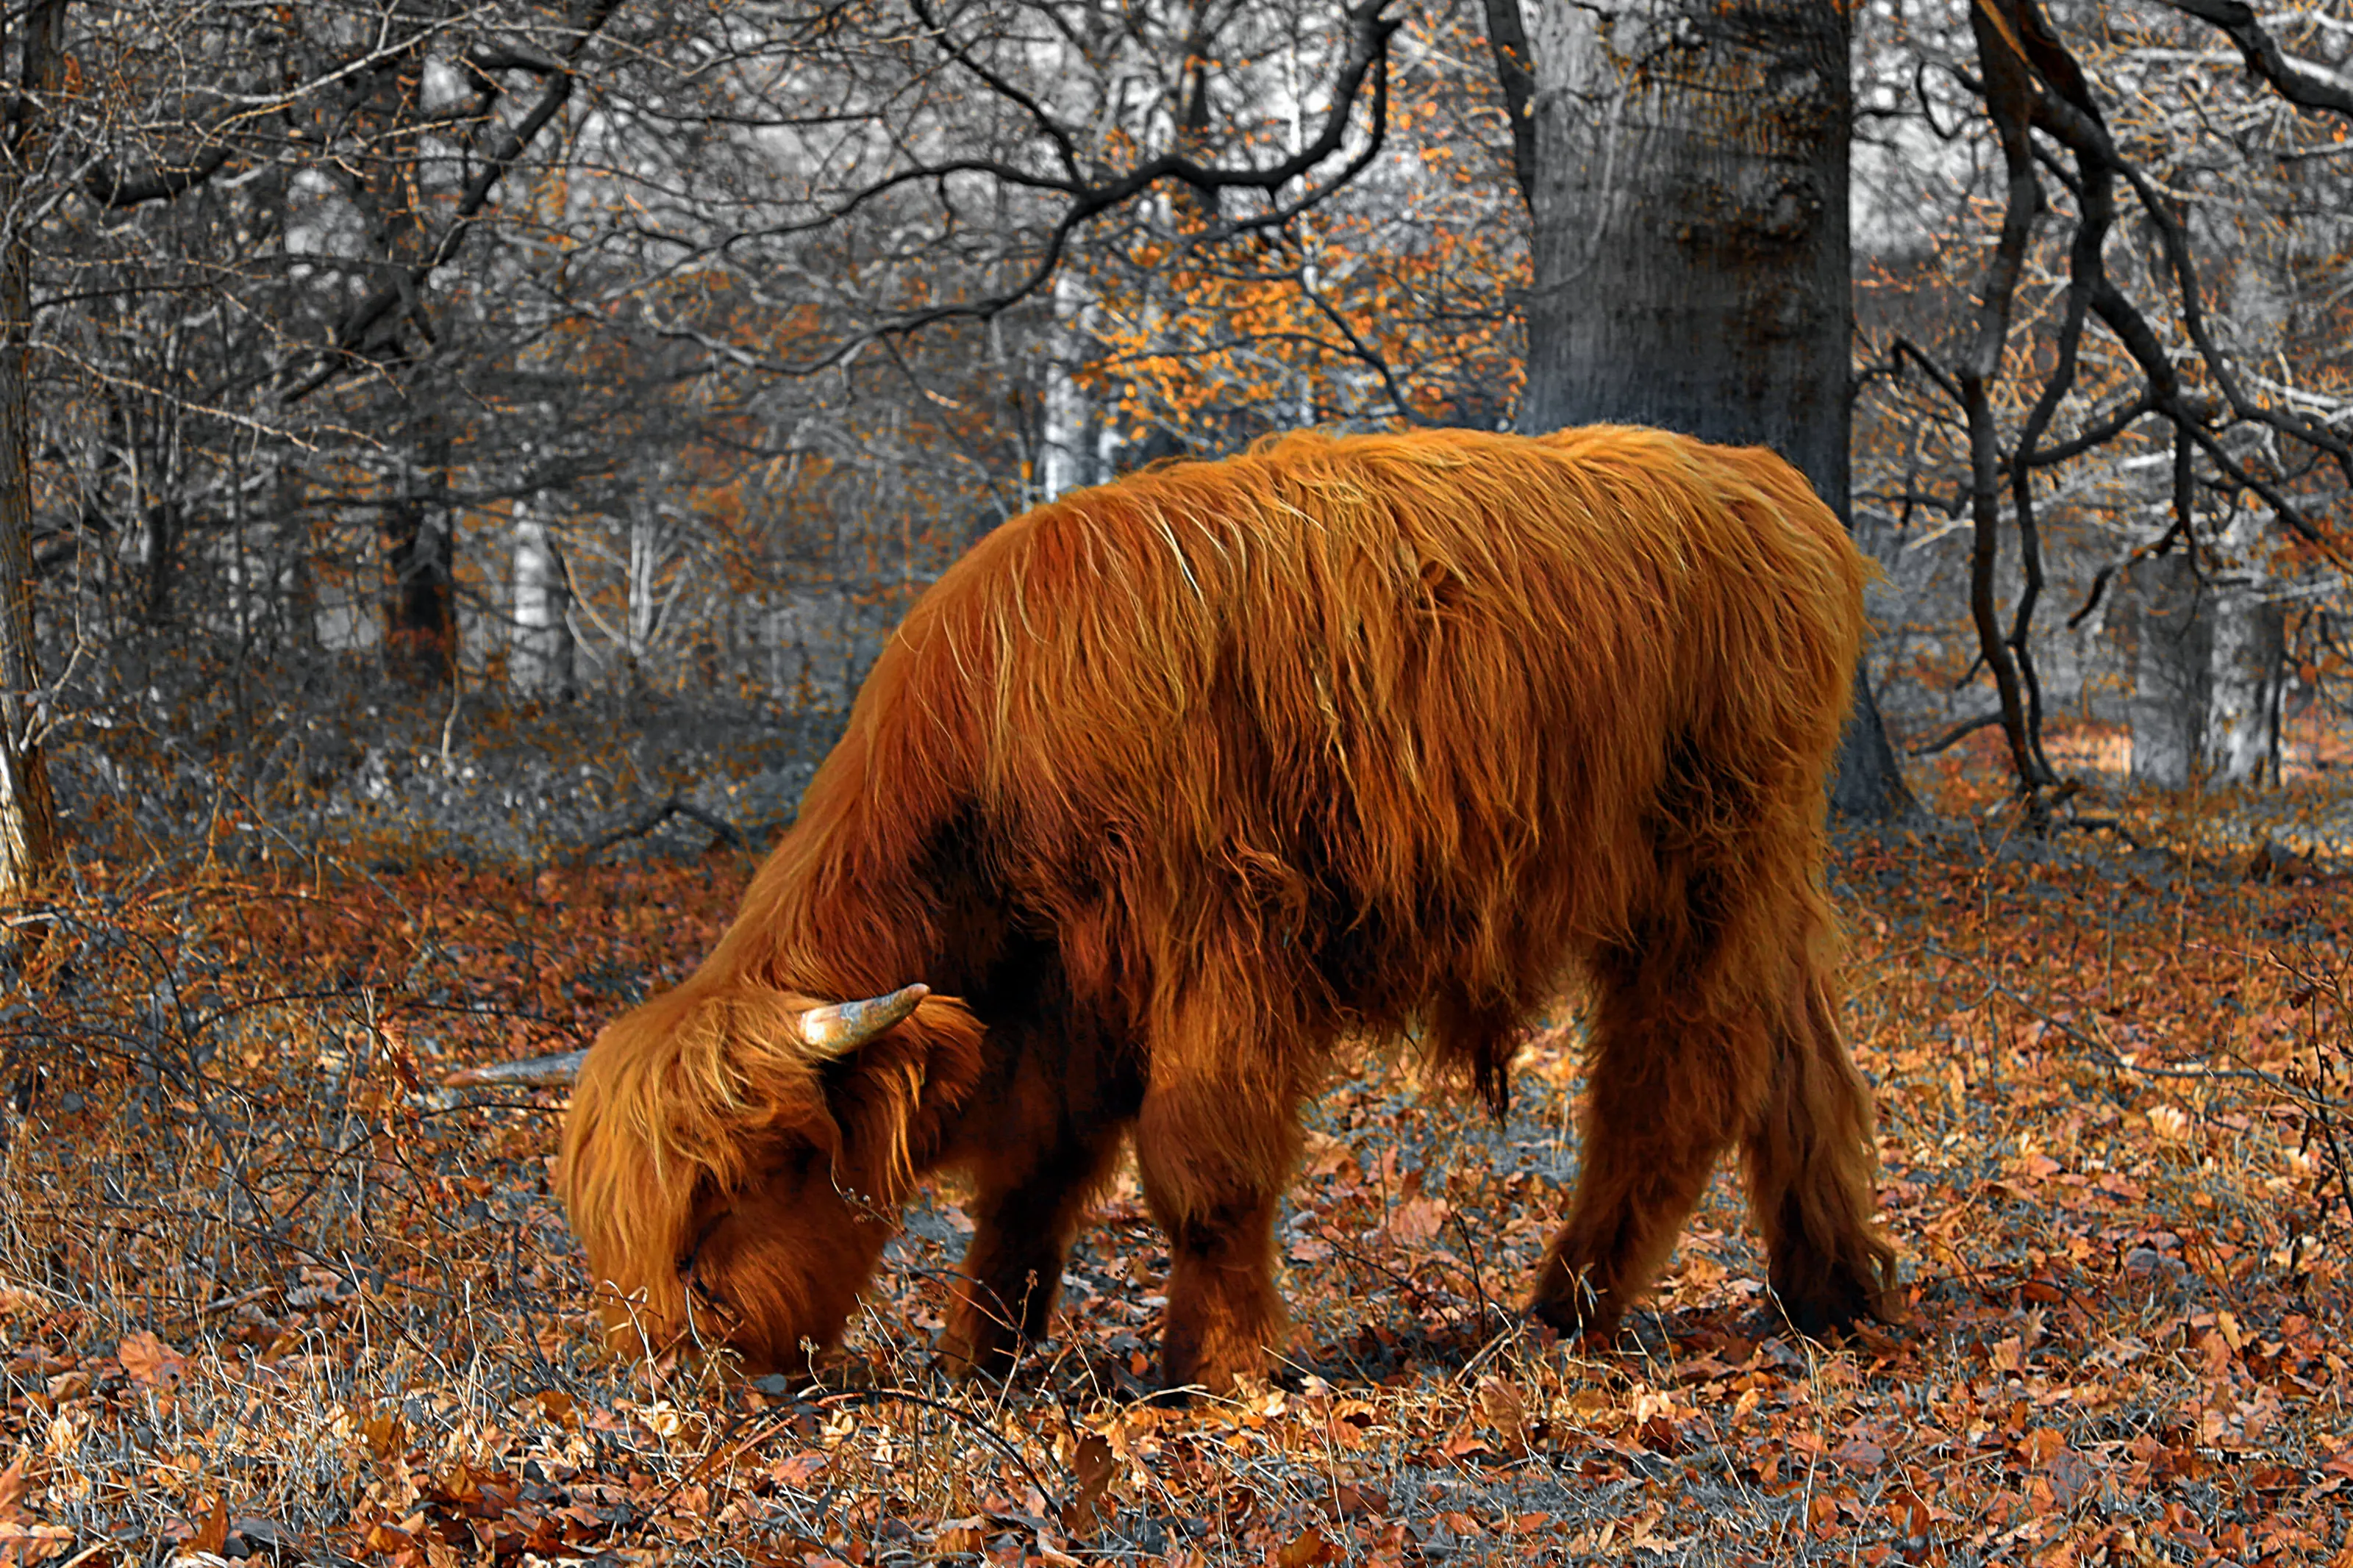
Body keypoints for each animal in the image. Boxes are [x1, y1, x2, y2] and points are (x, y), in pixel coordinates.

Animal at [539, 425, 1899, 1393]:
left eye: (750, 1175)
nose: (678, 1360)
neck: (993, 742)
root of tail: (1763, 482)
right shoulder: (1076, 995)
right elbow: (1034, 1175)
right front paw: (985, 1355)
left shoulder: (1221, 939)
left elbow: (1201, 1167)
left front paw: (1215, 1367)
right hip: (1762, 879)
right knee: (1801, 1067)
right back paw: (1834, 1291)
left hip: (1700, 873)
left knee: (1676, 1083)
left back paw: (1563, 1311)